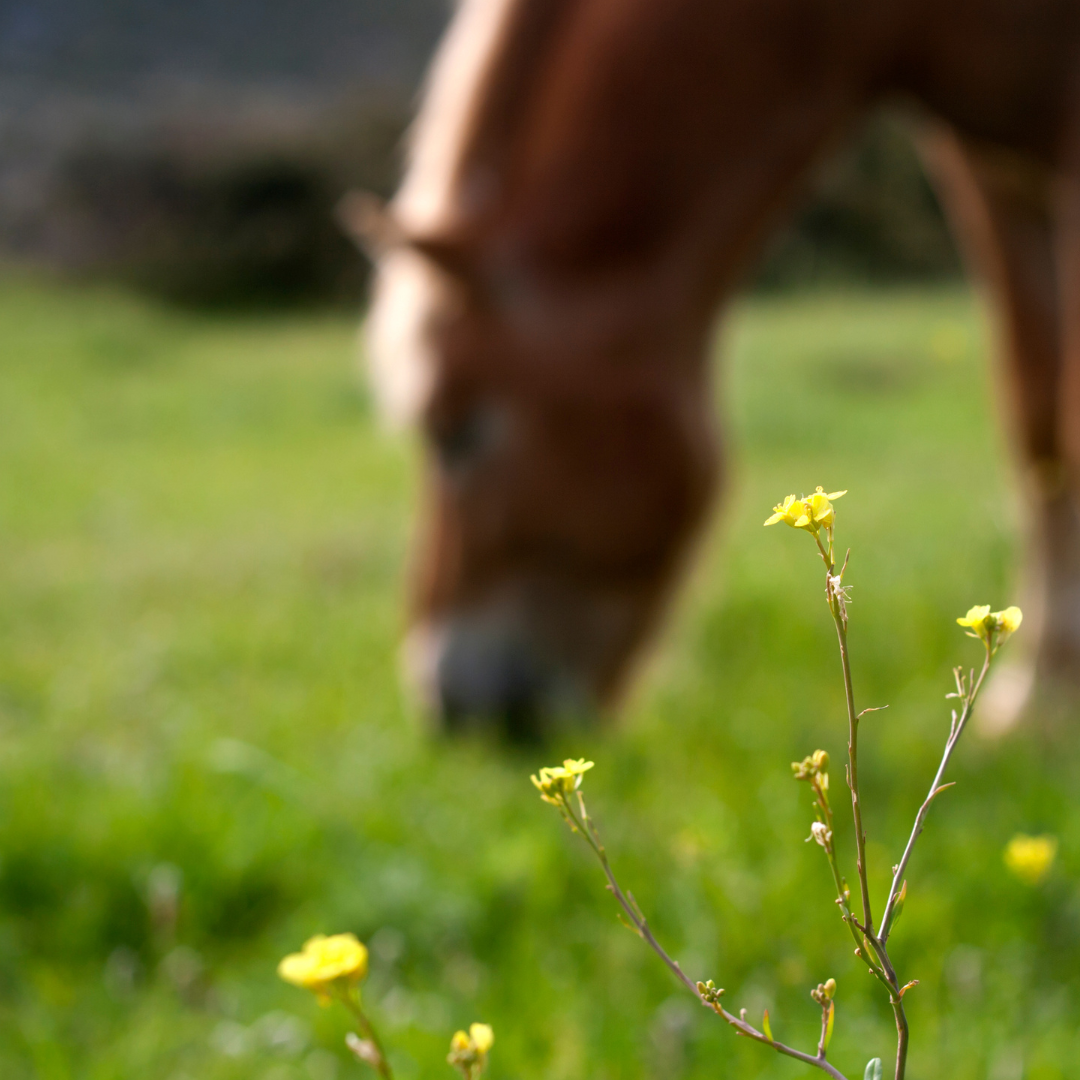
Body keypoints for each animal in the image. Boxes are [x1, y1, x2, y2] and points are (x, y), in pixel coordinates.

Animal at [343, 0, 1080, 734]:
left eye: (452, 430)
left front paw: (1048, 696)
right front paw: (1035, 700)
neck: (886, 23)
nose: (448, 706)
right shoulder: (983, 164)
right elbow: (1037, 416)